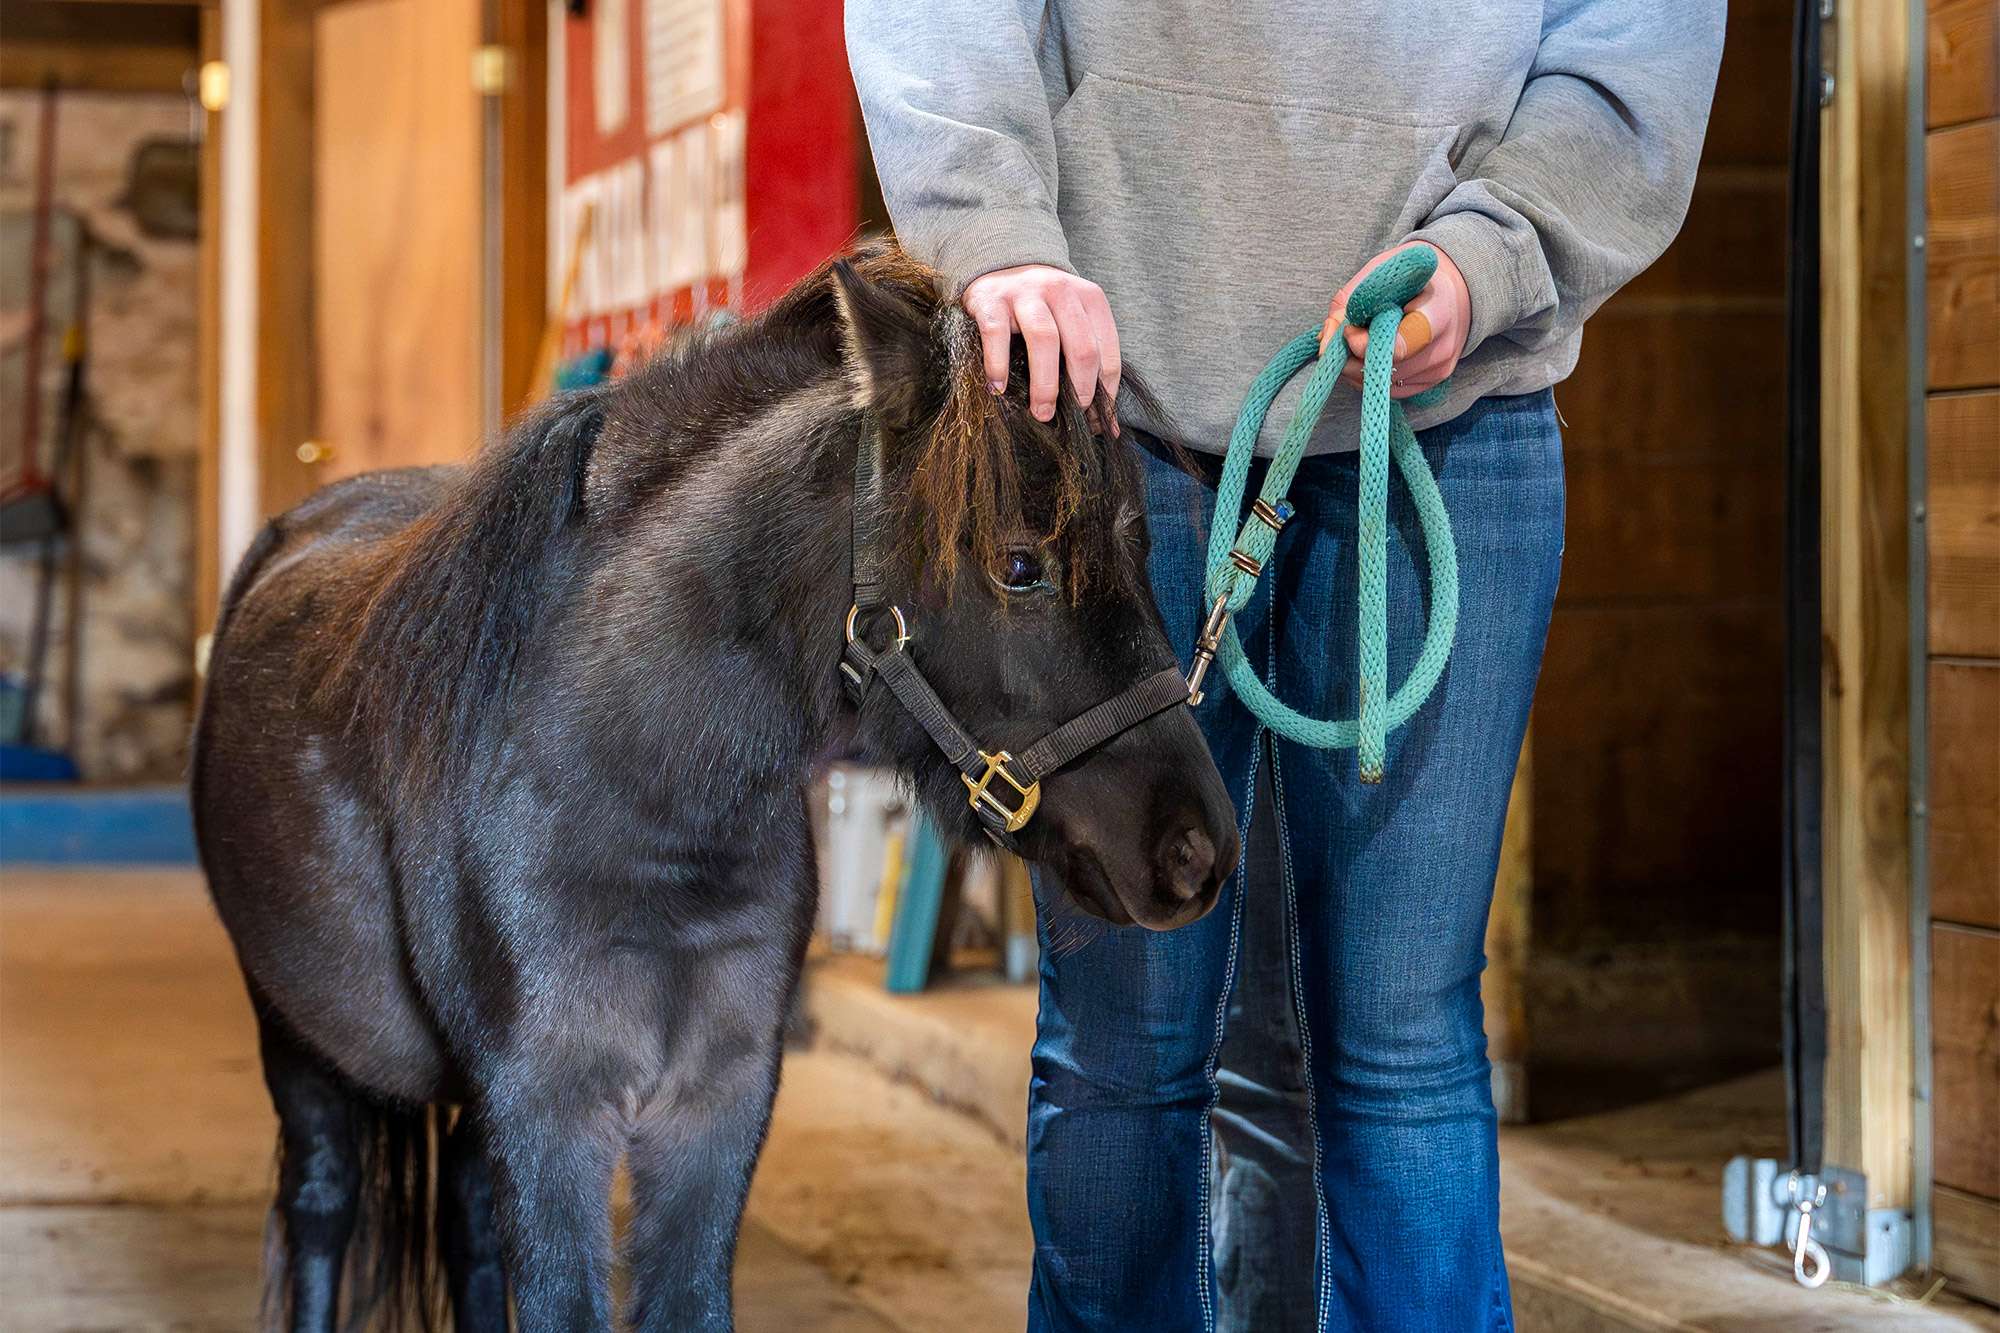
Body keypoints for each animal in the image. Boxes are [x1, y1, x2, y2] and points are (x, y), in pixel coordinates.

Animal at [199, 244, 1232, 1320]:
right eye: (1019, 565)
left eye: (1139, 546)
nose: (1195, 850)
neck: (638, 797)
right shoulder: (546, 1113)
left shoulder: (714, 1109)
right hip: (299, 1043)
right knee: (322, 1209)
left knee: (469, 1233)